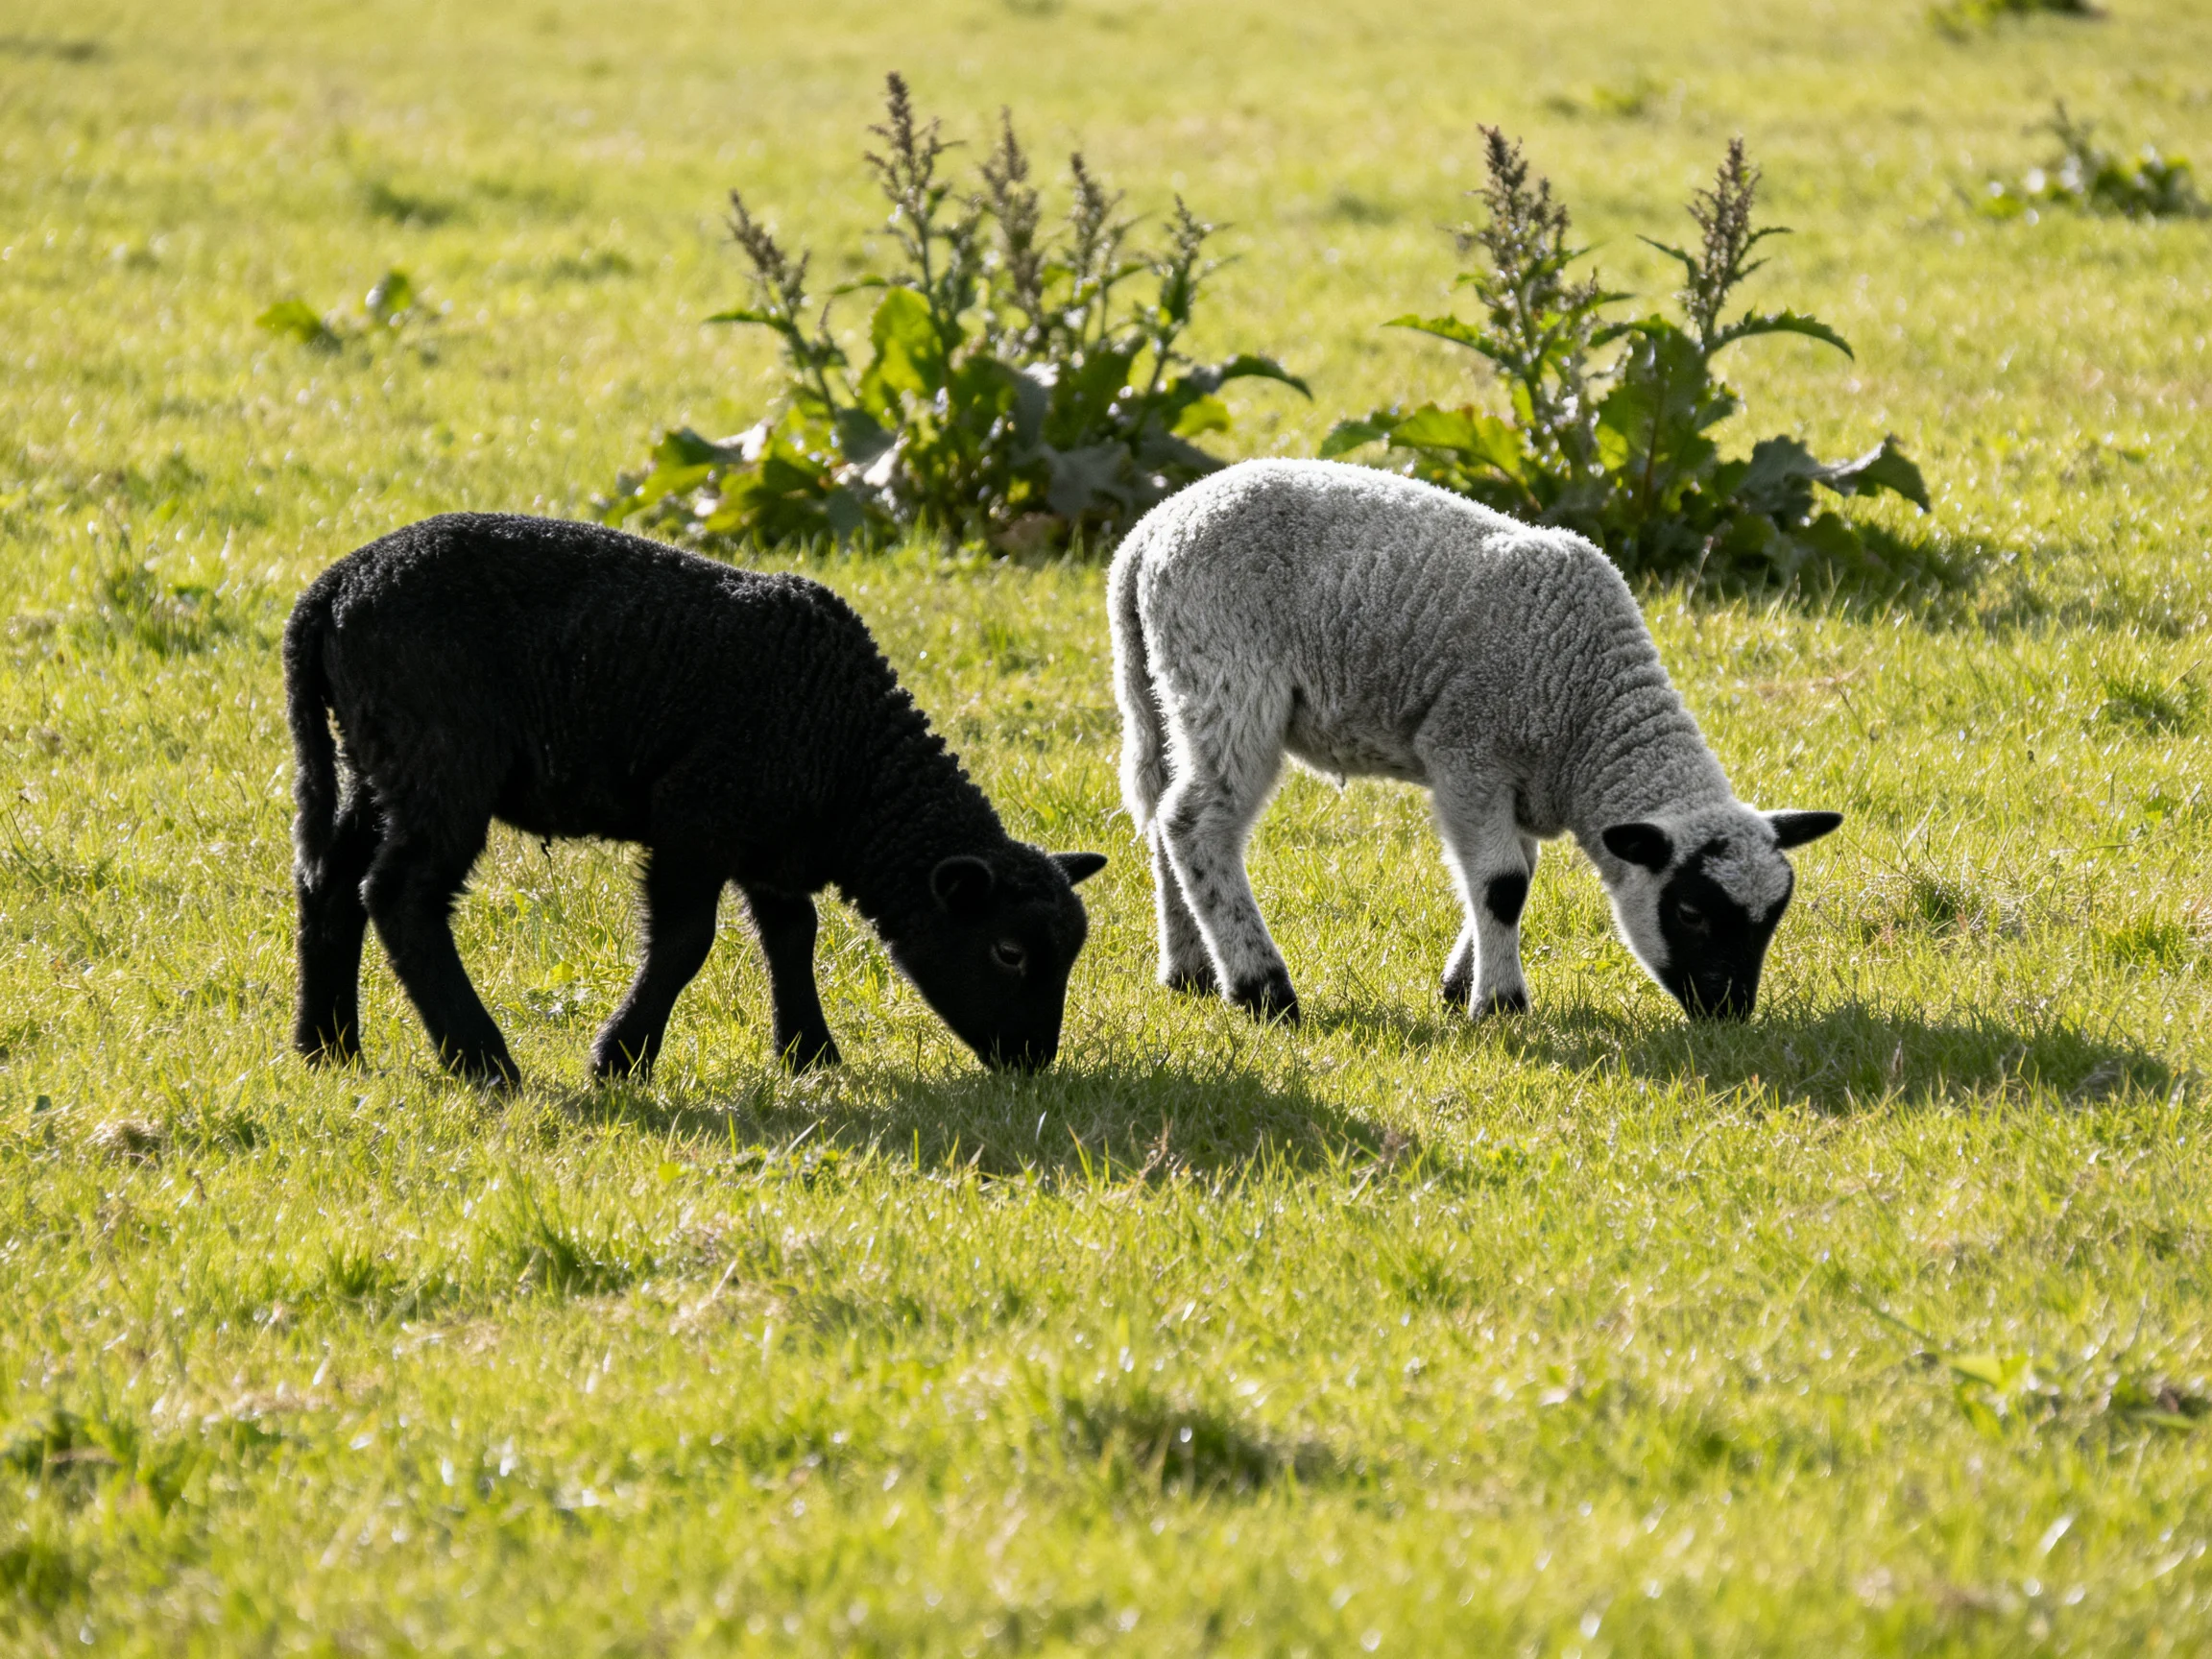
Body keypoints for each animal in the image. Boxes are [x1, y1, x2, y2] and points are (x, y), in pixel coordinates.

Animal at [285, 513, 1106, 1084]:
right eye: (1007, 953)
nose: (1034, 1063)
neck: (852, 759)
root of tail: (332, 591)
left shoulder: (765, 836)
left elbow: (792, 933)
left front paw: (810, 1055)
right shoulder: (697, 818)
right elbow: (686, 944)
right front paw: (620, 1061)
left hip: (374, 758)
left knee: (329, 882)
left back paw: (328, 1049)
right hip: (444, 759)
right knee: (400, 895)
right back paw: (484, 1062)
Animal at [1108, 459, 1840, 1024]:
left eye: (1772, 917)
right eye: (1688, 912)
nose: (1730, 1013)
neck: (1587, 709)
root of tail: (1147, 535)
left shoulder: (1509, 782)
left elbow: (1514, 873)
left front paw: (1463, 983)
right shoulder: (1469, 751)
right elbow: (1503, 884)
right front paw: (1502, 1005)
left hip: (1172, 689)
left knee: (1165, 817)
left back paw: (1190, 971)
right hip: (1229, 679)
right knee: (1196, 823)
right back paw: (1263, 989)